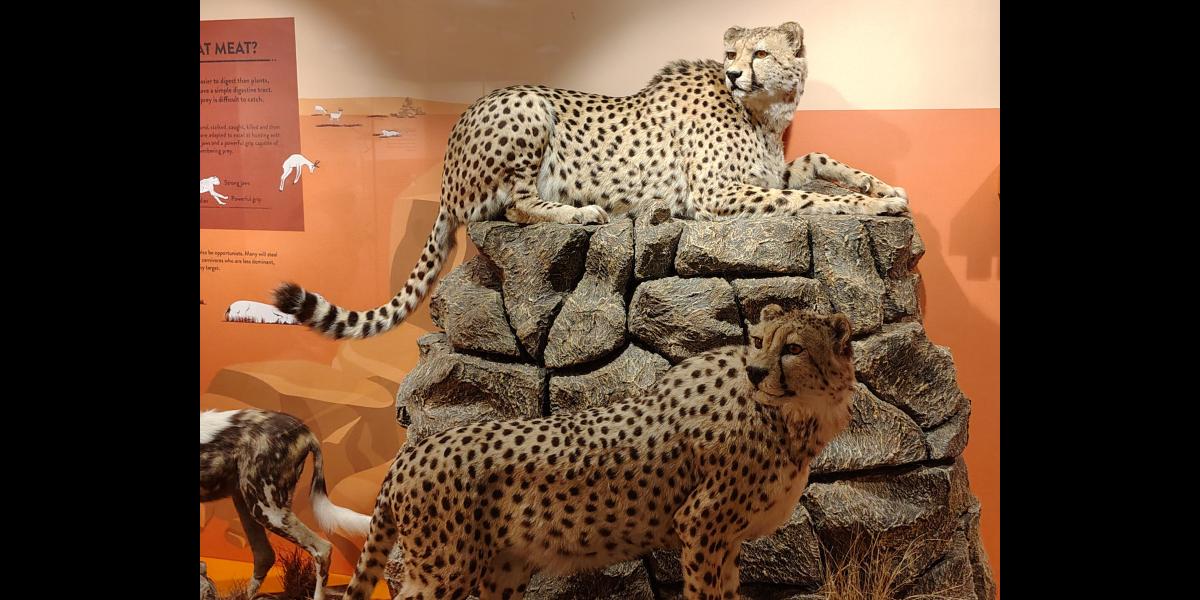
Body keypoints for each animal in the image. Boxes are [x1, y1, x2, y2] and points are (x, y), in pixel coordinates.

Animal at [273, 22, 909, 341]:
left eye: (758, 52)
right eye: (730, 53)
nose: (734, 72)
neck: (763, 109)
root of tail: (450, 152)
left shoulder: (770, 168)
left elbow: (816, 162)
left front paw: (882, 187)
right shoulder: (718, 194)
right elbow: (800, 199)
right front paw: (871, 207)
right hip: (529, 108)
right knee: (514, 207)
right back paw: (584, 212)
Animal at [338, 304, 856, 600]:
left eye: (793, 348)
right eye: (758, 341)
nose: (755, 371)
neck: (795, 415)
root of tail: (411, 453)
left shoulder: (724, 539)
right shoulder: (701, 526)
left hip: (503, 568)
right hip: (444, 570)